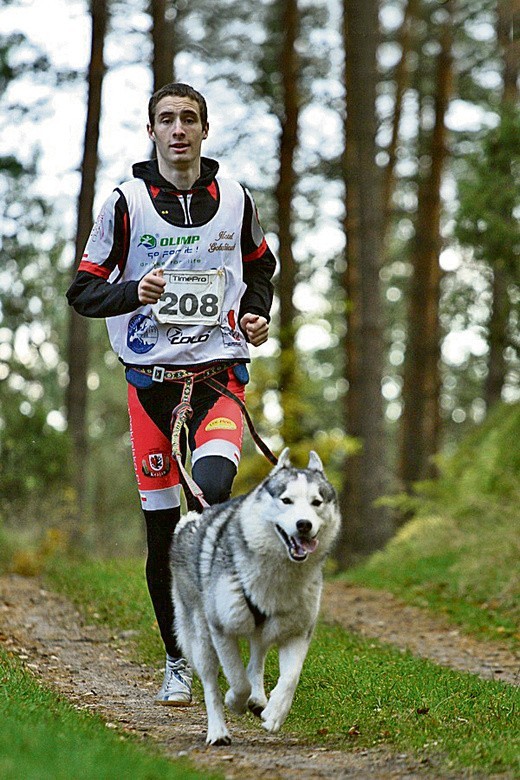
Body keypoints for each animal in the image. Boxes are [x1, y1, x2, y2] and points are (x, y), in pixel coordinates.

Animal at [171, 448, 342, 748]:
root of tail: (191, 520)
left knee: (257, 658)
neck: (279, 573)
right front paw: (234, 701)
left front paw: (274, 713)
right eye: (286, 500)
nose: (304, 524)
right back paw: (218, 730)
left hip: (263, 629)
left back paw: (259, 698)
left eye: (316, 502)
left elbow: (290, 677)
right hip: (202, 637)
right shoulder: (221, 629)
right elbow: (237, 681)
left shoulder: (299, 631)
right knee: (211, 681)